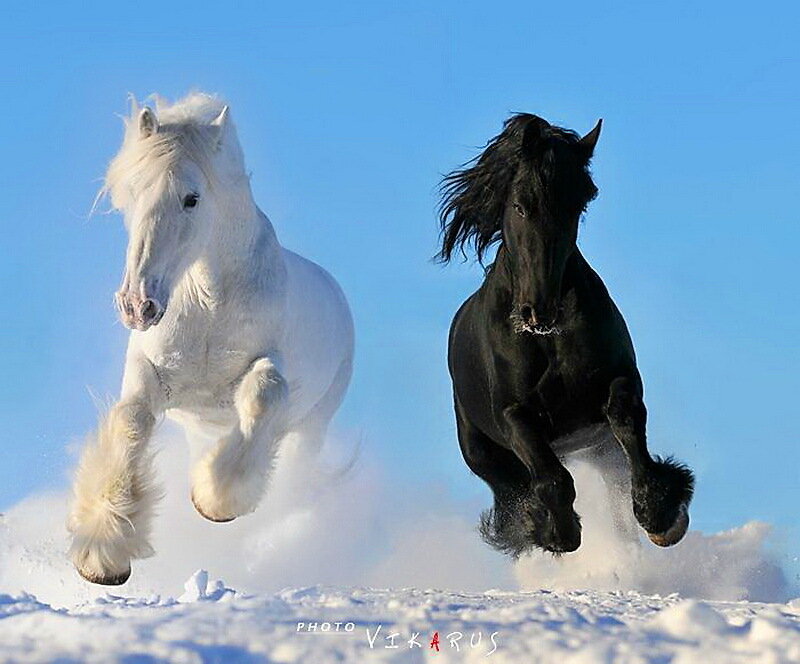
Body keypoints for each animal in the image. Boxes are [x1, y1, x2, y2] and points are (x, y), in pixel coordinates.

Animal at [68, 93, 354, 585]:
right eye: (131, 193)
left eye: (191, 198)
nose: (137, 304)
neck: (208, 304)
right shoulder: (150, 376)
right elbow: (131, 422)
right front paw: (104, 554)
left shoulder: (267, 367)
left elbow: (263, 394)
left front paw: (215, 501)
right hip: (199, 428)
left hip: (312, 427)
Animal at [437, 114, 694, 557]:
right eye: (520, 205)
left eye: (578, 205)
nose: (539, 311)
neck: (547, 339)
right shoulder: (514, 414)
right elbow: (552, 479)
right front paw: (556, 531)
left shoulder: (618, 380)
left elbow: (627, 421)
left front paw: (661, 514)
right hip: (482, 452)